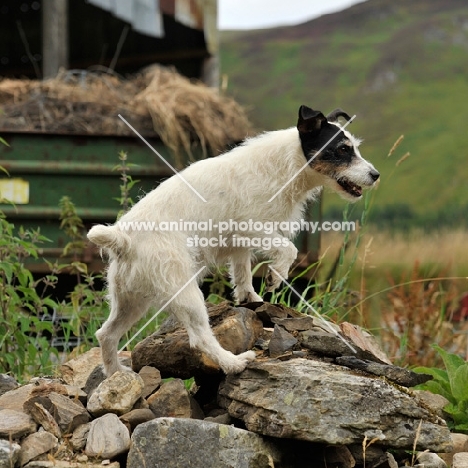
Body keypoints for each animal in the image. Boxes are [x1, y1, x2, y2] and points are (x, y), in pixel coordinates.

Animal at [88, 106, 380, 376]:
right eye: (342, 149)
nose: (375, 175)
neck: (284, 166)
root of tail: (124, 240)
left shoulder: (240, 244)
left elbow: (242, 273)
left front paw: (250, 297)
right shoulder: (252, 227)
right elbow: (288, 249)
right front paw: (276, 276)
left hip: (130, 300)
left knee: (106, 334)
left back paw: (115, 373)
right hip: (186, 294)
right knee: (199, 338)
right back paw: (234, 363)